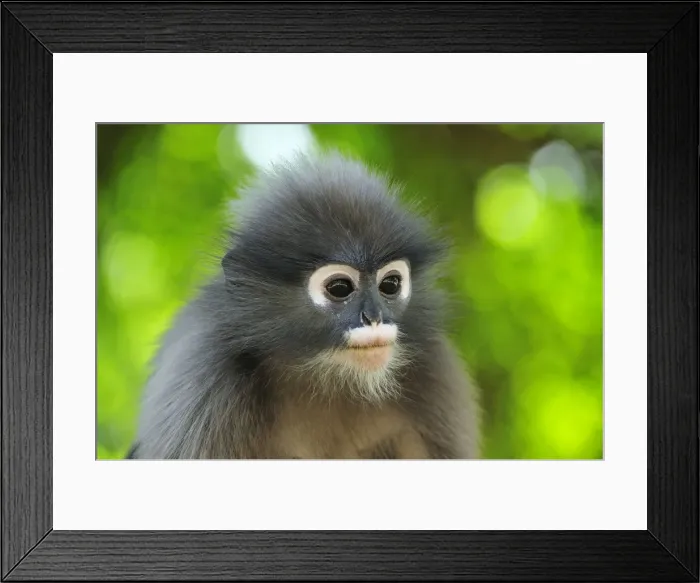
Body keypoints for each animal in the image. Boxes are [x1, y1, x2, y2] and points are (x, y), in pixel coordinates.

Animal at [127, 152, 481, 460]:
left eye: (390, 285)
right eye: (340, 288)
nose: (374, 317)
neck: (326, 376)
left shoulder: (434, 369)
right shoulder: (203, 379)